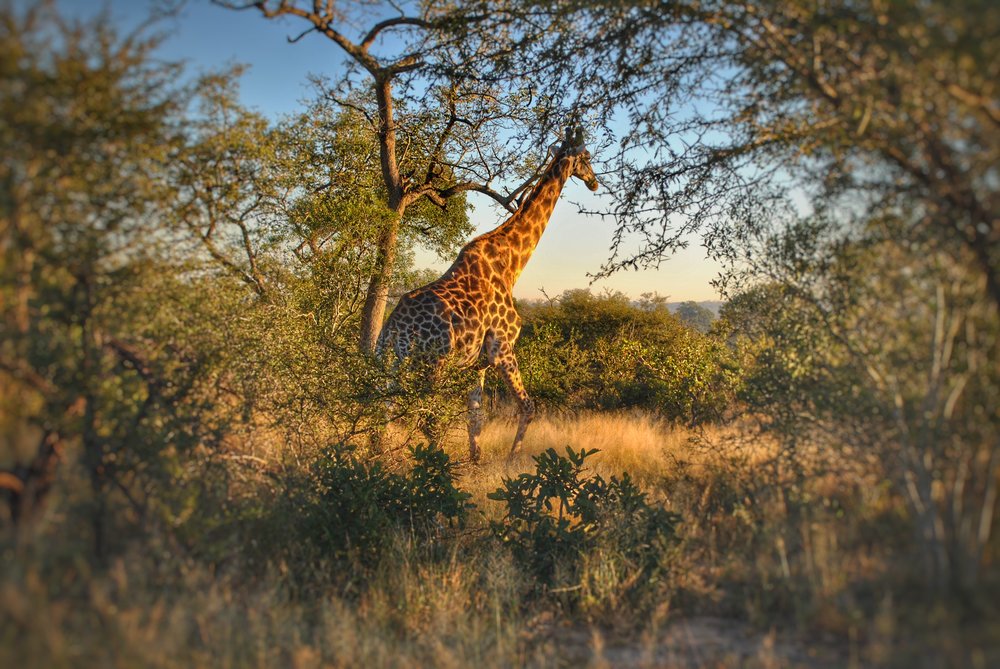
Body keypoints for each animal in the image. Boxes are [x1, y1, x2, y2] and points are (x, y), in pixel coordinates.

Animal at [374, 126, 592, 460]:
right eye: (588, 157)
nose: (594, 181)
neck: (511, 264)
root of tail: (393, 328)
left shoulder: (476, 363)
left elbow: (476, 417)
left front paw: (476, 461)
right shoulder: (503, 347)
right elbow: (527, 406)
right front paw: (511, 460)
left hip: (392, 364)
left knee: (384, 409)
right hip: (432, 363)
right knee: (425, 416)